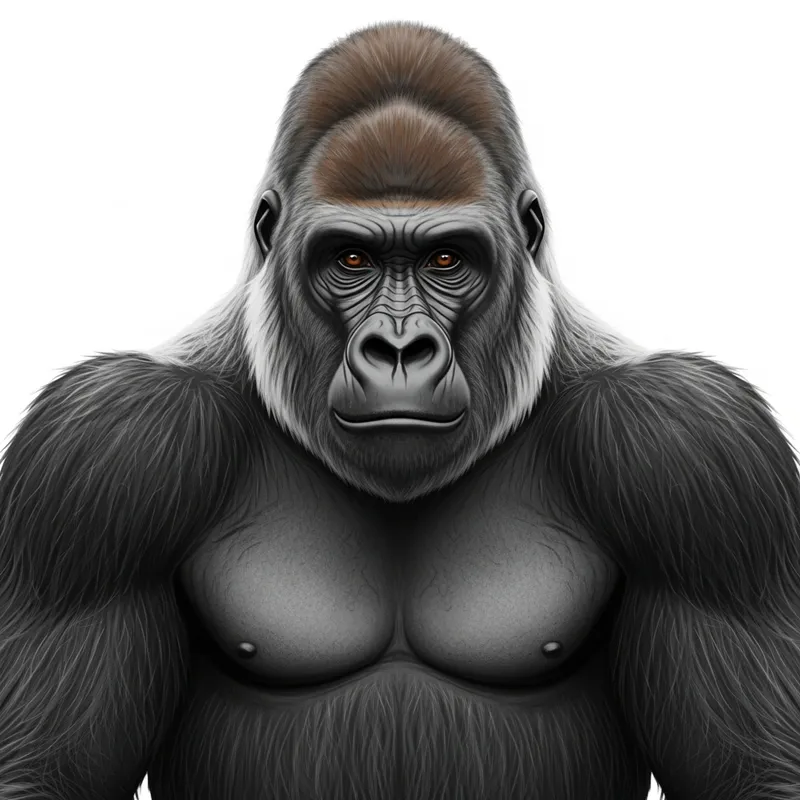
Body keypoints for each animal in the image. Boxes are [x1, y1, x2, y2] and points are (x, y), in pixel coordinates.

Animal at [1, 19, 799, 800]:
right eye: (349, 260)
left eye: (448, 260)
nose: (398, 349)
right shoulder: (108, 442)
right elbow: (41, 767)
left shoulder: (689, 441)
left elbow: (756, 769)